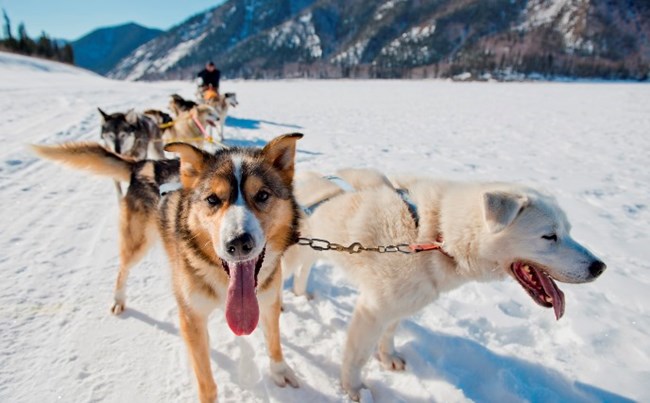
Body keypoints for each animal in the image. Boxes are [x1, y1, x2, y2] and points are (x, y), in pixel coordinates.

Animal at [30, 135, 302, 403]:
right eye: (212, 199)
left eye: (262, 195)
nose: (238, 243)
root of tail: (143, 164)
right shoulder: (191, 319)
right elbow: (206, 381)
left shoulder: (267, 302)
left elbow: (274, 340)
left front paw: (280, 370)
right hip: (137, 245)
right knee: (122, 269)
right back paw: (118, 299)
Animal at [284, 168, 608, 400]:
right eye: (549, 236)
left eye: (568, 231)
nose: (600, 267)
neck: (434, 233)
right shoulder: (373, 309)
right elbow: (357, 356)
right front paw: (353, 389)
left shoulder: (402, 303)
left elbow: (390, 333)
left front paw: (387, 357)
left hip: (317, 249)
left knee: (305, 269)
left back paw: (301, 293)